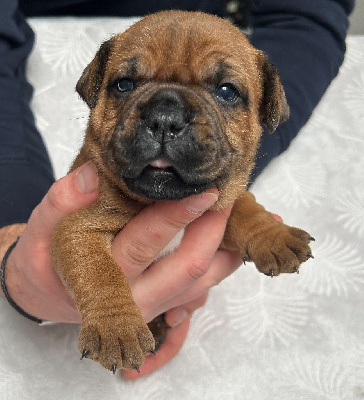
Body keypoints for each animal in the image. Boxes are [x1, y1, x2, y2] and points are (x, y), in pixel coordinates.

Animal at [50, 10, 312, 374]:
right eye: (123, 85)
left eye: (227, 91)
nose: (165, 117)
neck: (160, 200)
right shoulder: (76, 227)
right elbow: (100, 272)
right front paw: (117, 329)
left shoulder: (220, 197)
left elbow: (244, 206)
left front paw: (274, 235)